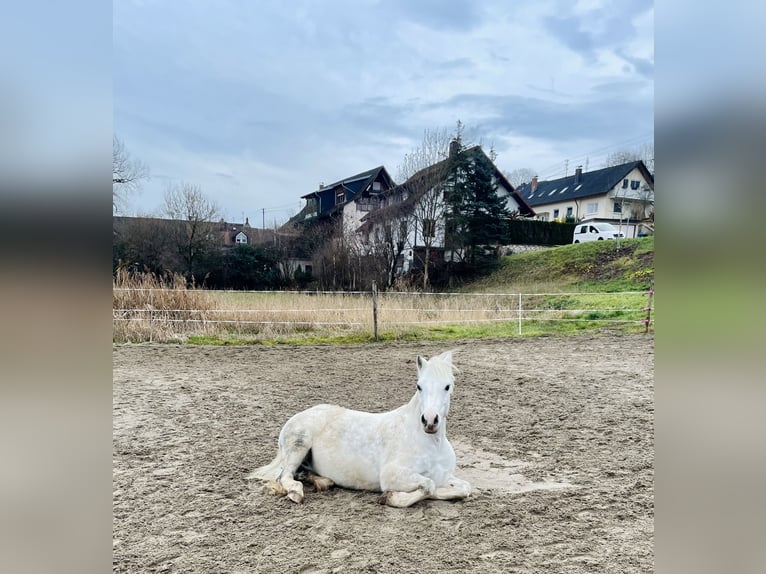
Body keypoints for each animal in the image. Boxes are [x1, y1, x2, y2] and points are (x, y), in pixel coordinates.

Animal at [247, 350, 471, 508]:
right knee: (285, 476)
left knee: (300, 473)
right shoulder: (393, 475)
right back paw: (296, 492)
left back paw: (324, 482)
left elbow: (463, 489)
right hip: (299, 445)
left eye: (447, 386)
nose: (430, 421)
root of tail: (297, 417)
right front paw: (391, 497)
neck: (430, 444)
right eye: (419, 386)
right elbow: (429, 485)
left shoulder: (445, 477)